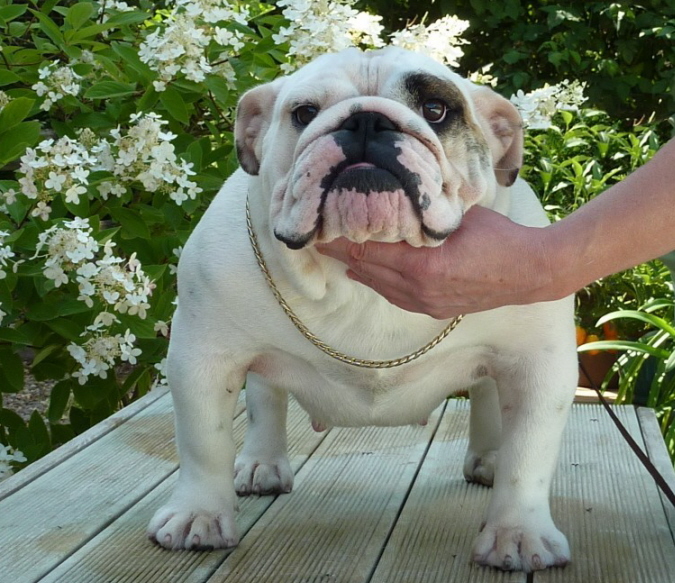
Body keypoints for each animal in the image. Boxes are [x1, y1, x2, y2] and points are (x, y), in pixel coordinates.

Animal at [148, 46, 578, 572]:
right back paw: (261, 462)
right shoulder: (202, 358)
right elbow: (203, 442)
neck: (358, 283)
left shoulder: (540, 364)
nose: (368, 121)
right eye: (304, 113)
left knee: (490, 399)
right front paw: (199, 515)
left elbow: (529, 454)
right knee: (265, 396)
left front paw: (519, 532)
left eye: (437, 110)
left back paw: (491, 458)